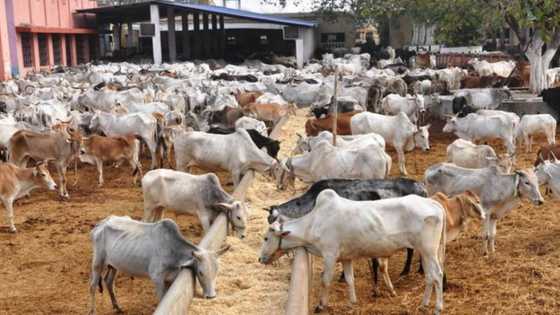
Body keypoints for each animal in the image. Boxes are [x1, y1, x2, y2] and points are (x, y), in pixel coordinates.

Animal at [88, 217, 228, 315]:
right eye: (200, 272)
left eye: (217, 271)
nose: (211, 296)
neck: (172, 249)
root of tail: (101, 223)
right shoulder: (157, 278)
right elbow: (162, 300)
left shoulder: (171, 278)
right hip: (98, 262)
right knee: (93, 286)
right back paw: (92, 311)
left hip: (114, 265)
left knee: (109, 281)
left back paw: (117, 307)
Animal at [258, 190, 446, 315]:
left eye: (266, 238)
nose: (260, 258)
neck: (314, 222)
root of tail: (433, 203)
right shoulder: (346, 258)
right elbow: (350, 279)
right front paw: (352, 302)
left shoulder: (330, 254)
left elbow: (325, 280)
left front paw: (320, 305)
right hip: (426, 252)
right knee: (430, 276)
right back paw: (423, 304)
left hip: (429, 250)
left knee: (437, 274)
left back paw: (438, 307)